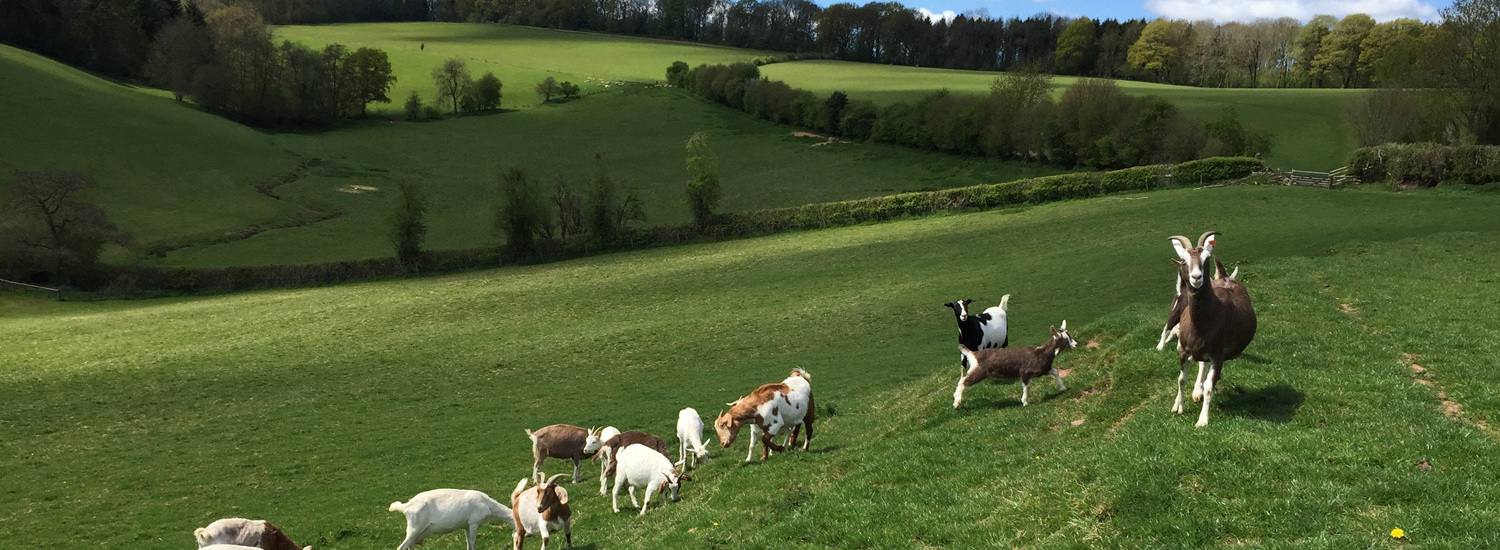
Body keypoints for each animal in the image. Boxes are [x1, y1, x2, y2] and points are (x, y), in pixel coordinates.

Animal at [1168, 231, 1257, 427]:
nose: (1196, 277)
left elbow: (1210, 385)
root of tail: (1225, 278)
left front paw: (1202, 420)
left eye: (1206, 258)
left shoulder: (1217, 354)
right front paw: (1179, 406)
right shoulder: (1183, 350)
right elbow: (1181, 379)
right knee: (1201, 364)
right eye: (1183, 260)